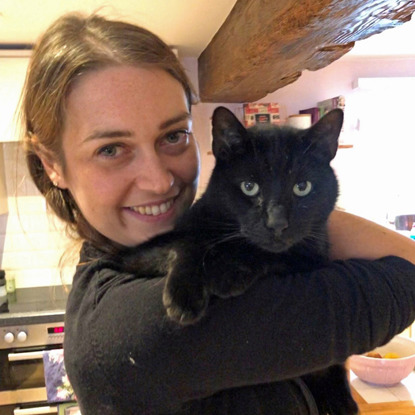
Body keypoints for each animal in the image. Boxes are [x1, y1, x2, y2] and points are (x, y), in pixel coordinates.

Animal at [119, 108, 358, 415]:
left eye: (302, 187)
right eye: (249, 187)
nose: (277, 223)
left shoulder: (314, 256)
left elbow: (271, 254)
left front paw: (227, 272)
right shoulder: (136, 255)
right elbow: (187, 243)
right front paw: (183, 299)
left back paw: (340, 400)